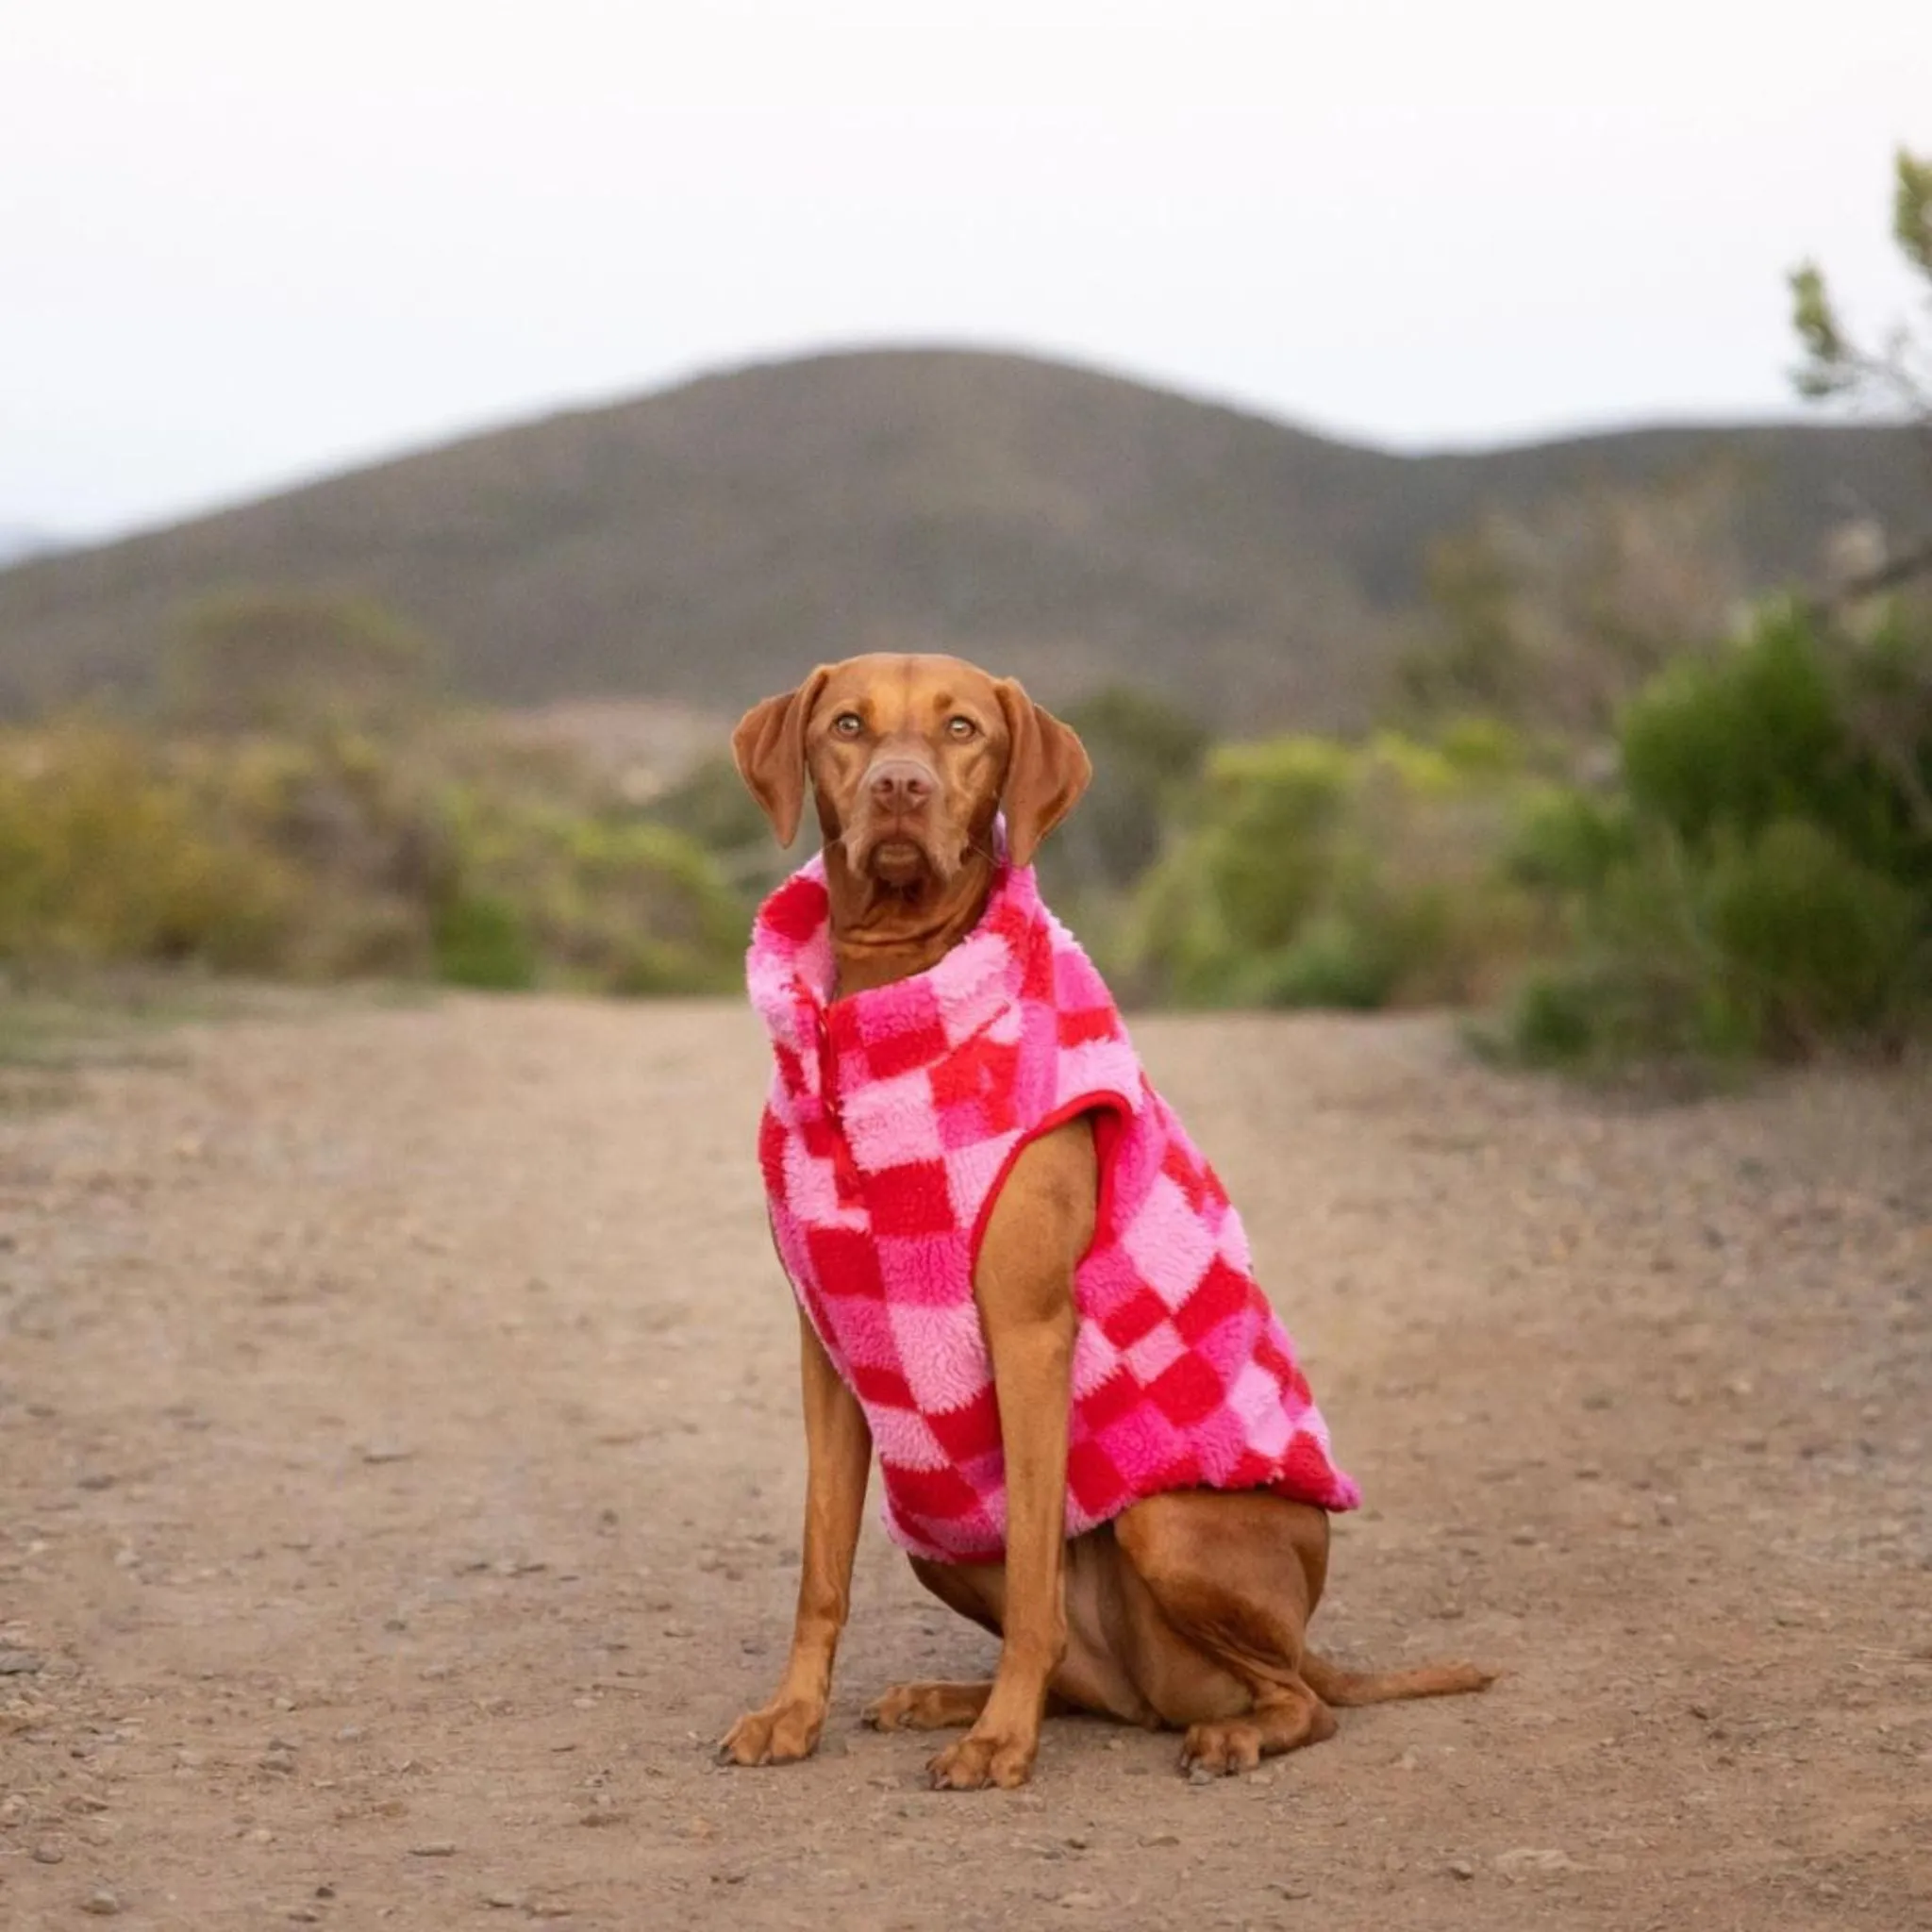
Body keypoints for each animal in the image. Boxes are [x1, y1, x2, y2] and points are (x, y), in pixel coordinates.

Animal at [726, 657, 1491, 1785]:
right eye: (848, 726)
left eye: (961, 728)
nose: (901, 788)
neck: (887, 1000)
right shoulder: (832, 1348)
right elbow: (821, 1566)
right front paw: (793, 1714)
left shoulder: (1027, 1331)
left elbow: (1035, 1575)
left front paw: (1002, 1742)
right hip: (941, 1530)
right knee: (1100, 1685)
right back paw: (948, 1696)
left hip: (1166, 1528)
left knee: (1297, 1701)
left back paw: (1214, 1730)